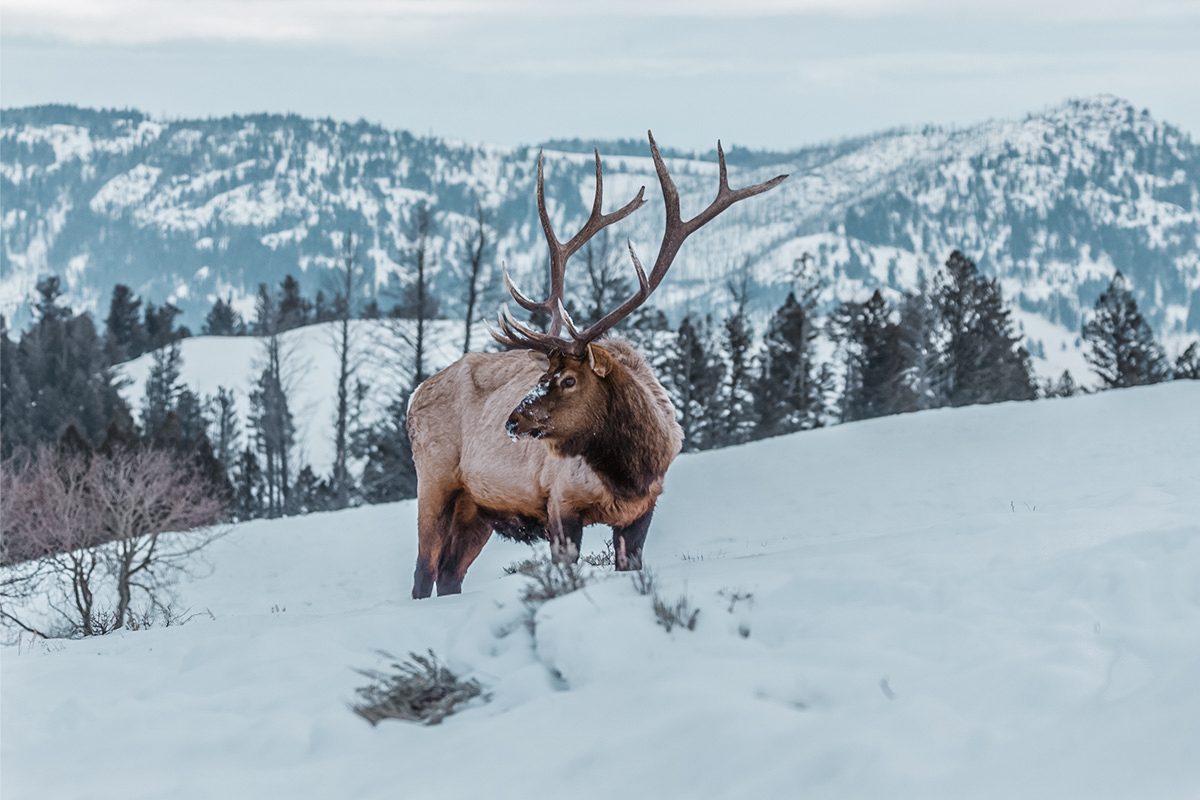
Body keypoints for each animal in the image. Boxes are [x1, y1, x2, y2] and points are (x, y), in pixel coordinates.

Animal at [408, 131, 787, 597]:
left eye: (568, 379)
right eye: (543, 374)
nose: (512, 421)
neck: (628, 469)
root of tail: (413, 398)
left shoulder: (642, 510)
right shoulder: (560, 503)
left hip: (478, 507)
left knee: (449, 574)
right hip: (435, 481)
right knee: (423, 572)